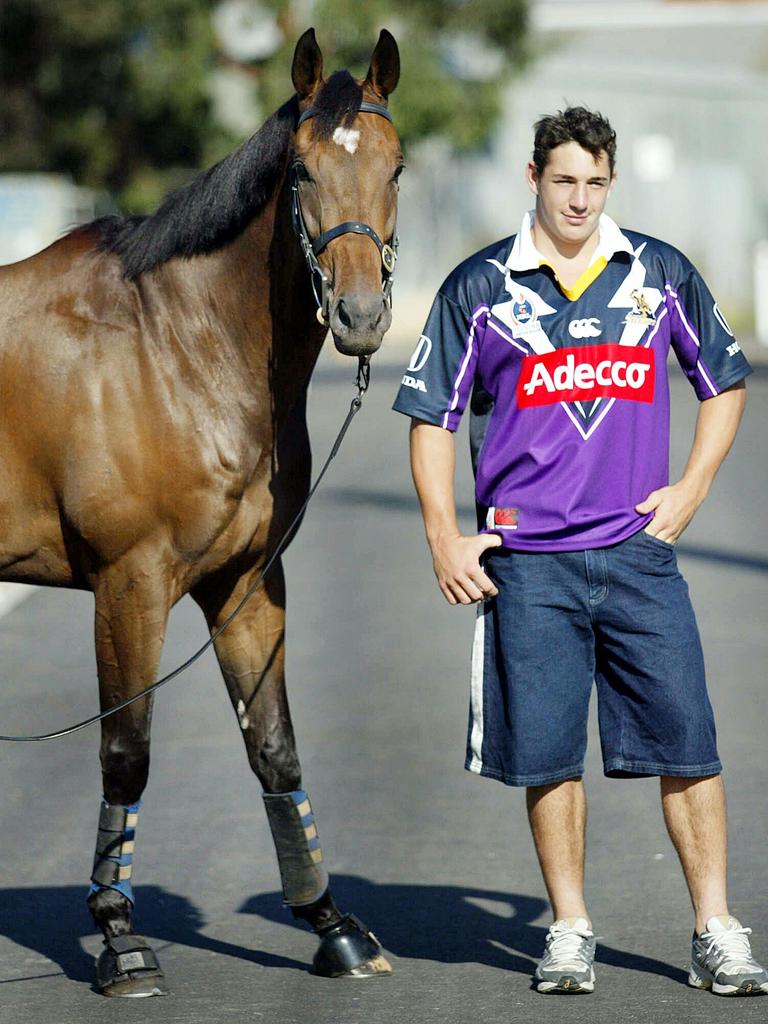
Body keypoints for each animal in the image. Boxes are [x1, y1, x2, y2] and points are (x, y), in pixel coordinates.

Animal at [0, 29, 405, 991]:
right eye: (301, 173)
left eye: (397, 168)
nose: (361, 317)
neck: (178, 347)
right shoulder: (130, 586)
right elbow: (127, 754)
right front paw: (120, 939)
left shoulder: (244, 583)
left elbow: (275, 748)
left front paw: (331, 925)